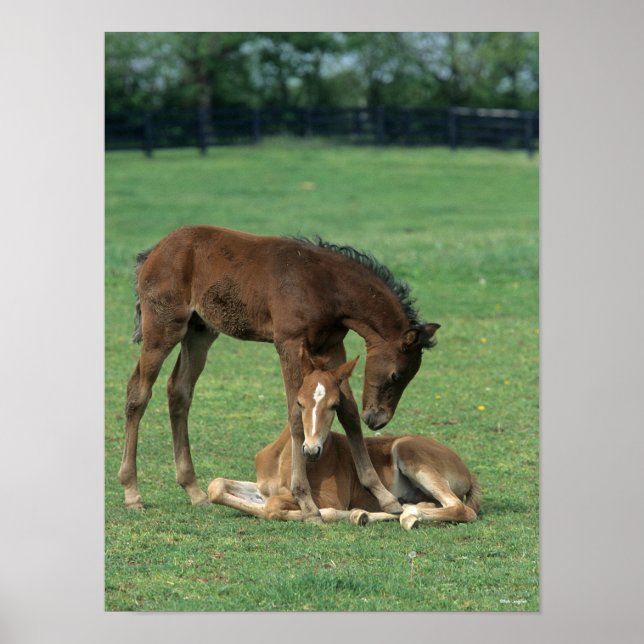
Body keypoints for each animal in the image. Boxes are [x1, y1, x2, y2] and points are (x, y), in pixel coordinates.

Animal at [118, 225, 440, 517]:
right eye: (397, 375)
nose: (377, 419)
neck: (326, 285)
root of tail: (154, 252)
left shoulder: (332, 347)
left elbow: (348, 413)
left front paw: (385, 497)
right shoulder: (289, 343)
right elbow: (296, 414)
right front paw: (305, 501)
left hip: (200, 332)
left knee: (179, 391)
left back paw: (194, 491)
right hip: (163, 328)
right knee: (138, 392)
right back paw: (132, 493)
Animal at [207, 346, 480, 530]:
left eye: (334, 405)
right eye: (300, 402)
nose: (311, 451)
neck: (283, 460)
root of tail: (468, 471)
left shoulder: (330, 498)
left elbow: (274, 506)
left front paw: (327, 515)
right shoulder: (262, 488)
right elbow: (217, 487)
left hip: (409, 452)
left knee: (461, 508)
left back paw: (405, 515)